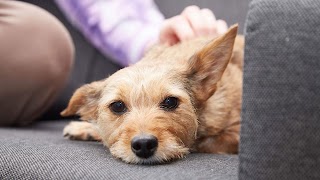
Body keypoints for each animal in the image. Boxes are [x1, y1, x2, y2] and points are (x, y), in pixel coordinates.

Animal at [61, 25, 244, 165]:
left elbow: (203, 142)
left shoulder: (235, 134)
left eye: (170, 102)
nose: (143, 144)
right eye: (117, 106)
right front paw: (87, 127)